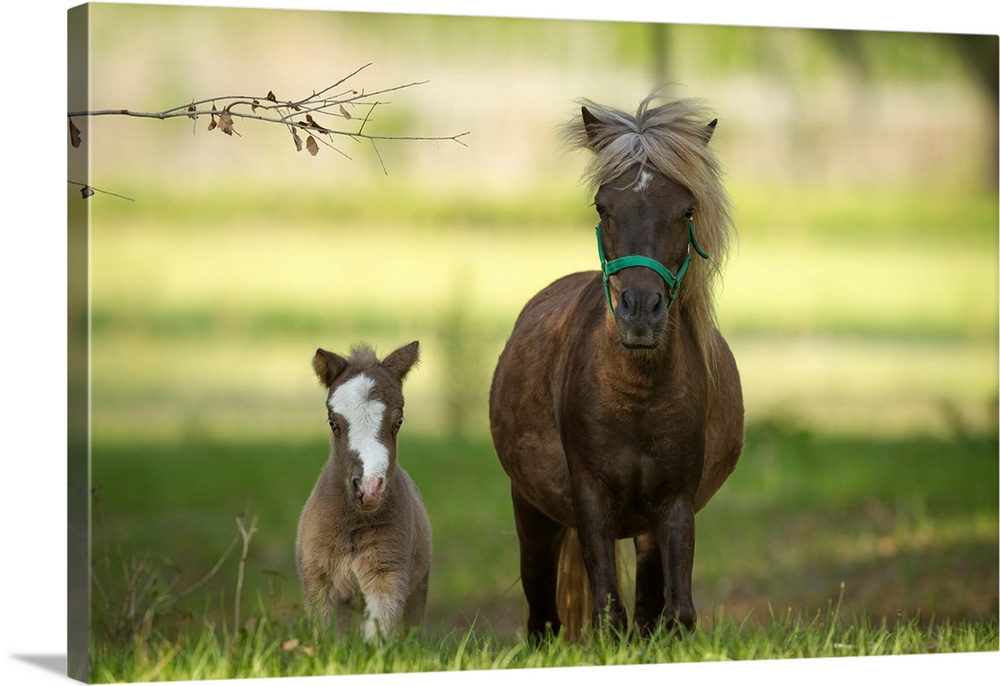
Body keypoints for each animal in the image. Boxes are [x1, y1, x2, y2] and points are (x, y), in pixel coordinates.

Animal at [292, 344, 426, 644]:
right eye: (333, 422)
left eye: (399, 421)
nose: (369, 489)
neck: (353, 524)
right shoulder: (318, 580)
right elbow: (327, 639)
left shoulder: (388, 576)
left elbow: (377, 637)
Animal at [490, 94, 744, 644]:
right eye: (603, 206)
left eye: (686, 210)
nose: (640, 310)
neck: (636, 395)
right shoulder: (589, 498)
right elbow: (608, 613)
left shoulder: (674, 501)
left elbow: (676, 613)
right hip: (533, 514)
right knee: (542, 616)